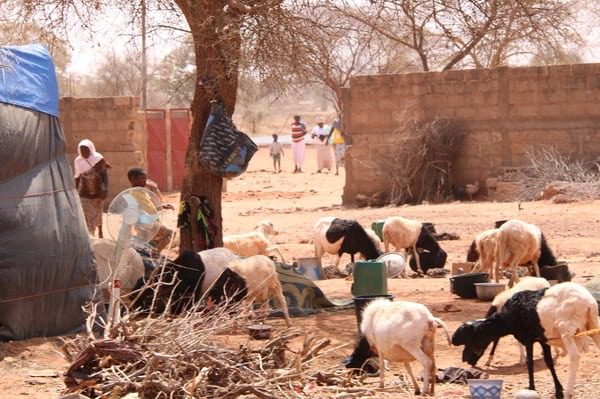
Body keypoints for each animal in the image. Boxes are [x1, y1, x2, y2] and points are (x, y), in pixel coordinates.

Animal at [452, 282, 600, 398]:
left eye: (470, 339)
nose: (466, 360)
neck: (507, 318)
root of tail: (588, 302)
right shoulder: (543, 339)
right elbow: (549, 362)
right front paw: (558, 390)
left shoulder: (528, 339)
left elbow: (530, 362)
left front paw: (532, 387)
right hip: (593, 324)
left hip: (566, 330)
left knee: (575, 356)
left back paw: (569, 391)